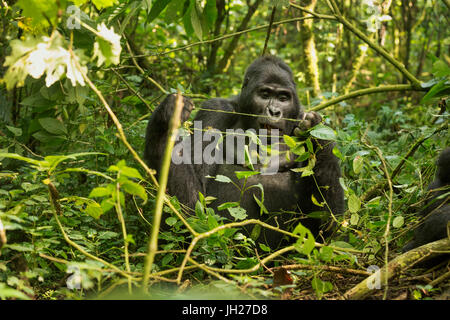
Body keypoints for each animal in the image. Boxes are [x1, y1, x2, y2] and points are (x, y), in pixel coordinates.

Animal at [144, 55, 344, 248]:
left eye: (283, 98)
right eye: (264, 94)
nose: (274, 111)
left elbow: (327, 228)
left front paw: (317, 134)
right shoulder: (216, 110)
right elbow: (194, 208)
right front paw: (165, 120)